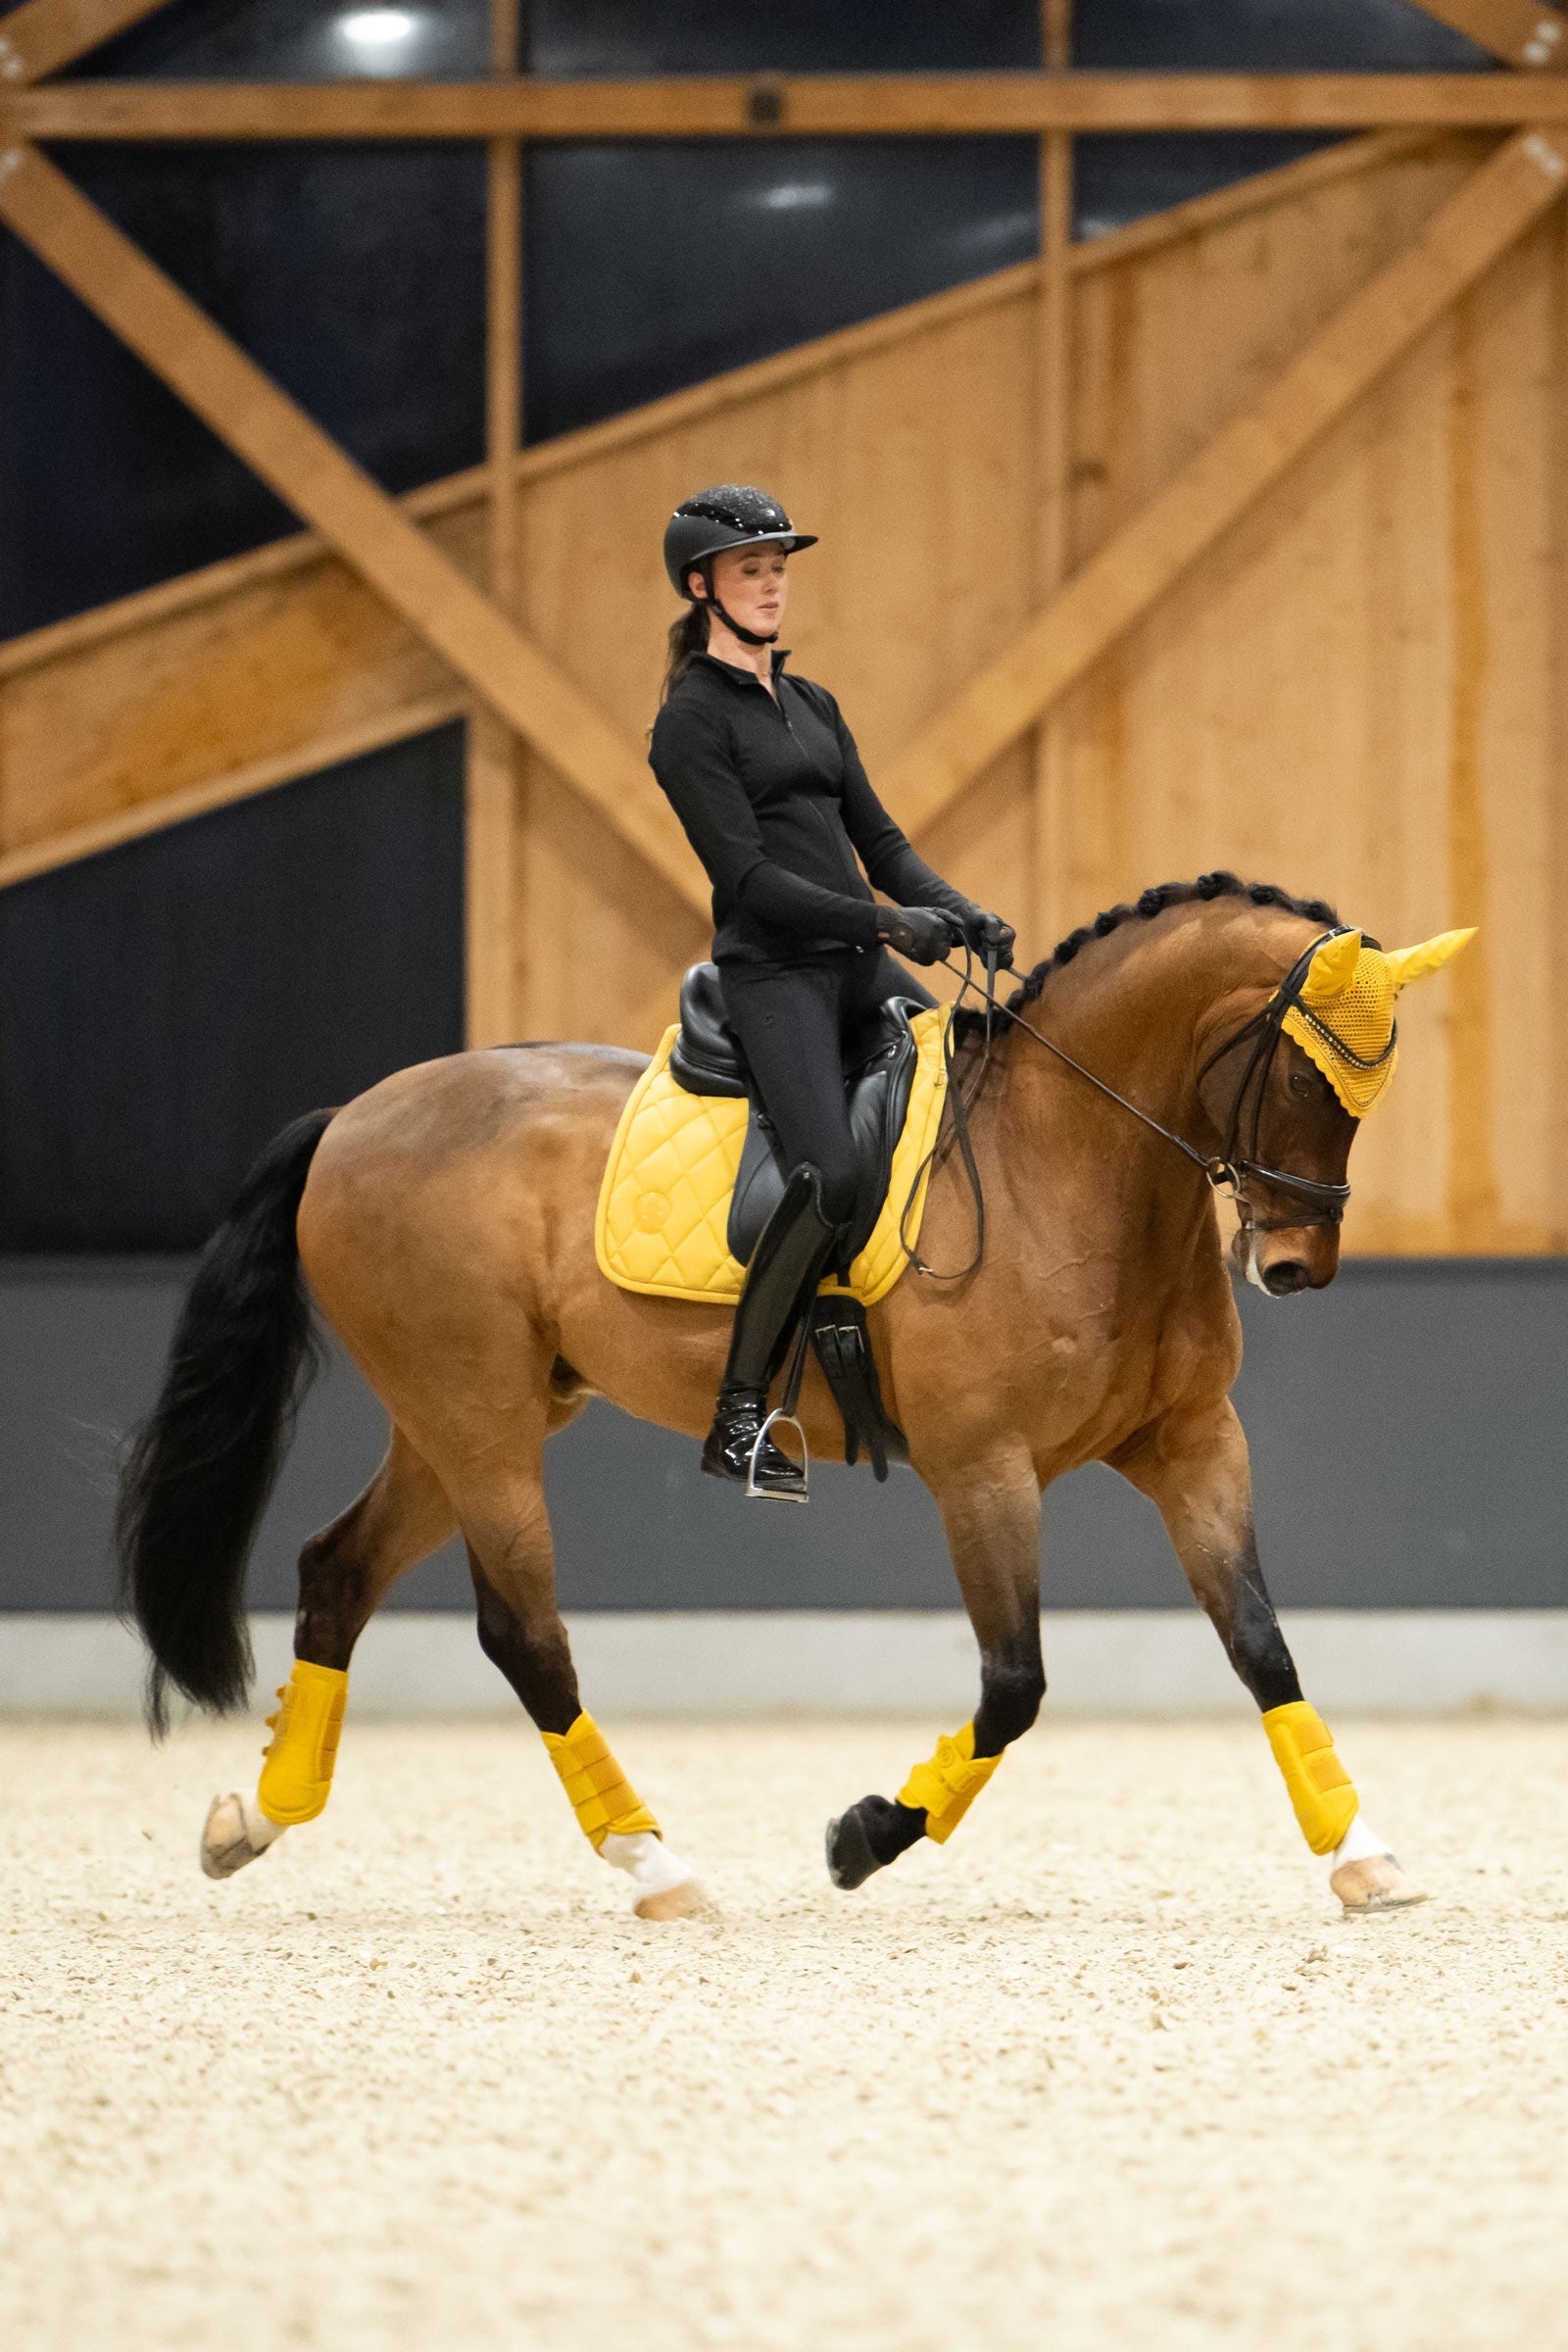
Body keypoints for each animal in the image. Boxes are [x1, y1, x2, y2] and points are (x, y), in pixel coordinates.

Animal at [118, 872, 1463, 1920]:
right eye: (1305, 1078)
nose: (1293, 1267)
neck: (1071, 1164)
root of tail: (352, 1115)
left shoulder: (1192, 1445)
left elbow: (1262, 1646)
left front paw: (1361, 1855)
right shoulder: (982, 1471)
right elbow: (1014, 1684)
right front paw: (865, 1836)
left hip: (462, 1419)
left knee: (337, 1572)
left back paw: (256, 1816)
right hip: (478, 1420)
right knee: (522, 1633)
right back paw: (655, 1863)